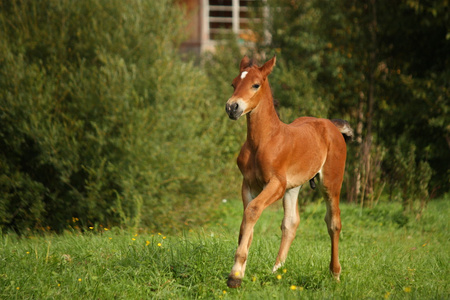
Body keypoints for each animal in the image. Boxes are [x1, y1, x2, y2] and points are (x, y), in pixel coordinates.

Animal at [224, 55, 352, 288]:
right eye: (233, 83)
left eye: (255, 85)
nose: (232, 107)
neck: (263, 140)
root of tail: (331, 125)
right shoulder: (248, 184)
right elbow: (246, 222)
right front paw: (240, 272)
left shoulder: (276, 183)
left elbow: (252, 211)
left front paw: (235, 274)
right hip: (294, 186)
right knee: (291, 222)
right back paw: (276, 271)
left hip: (331, 182)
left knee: (334, 222)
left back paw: (335, 274)